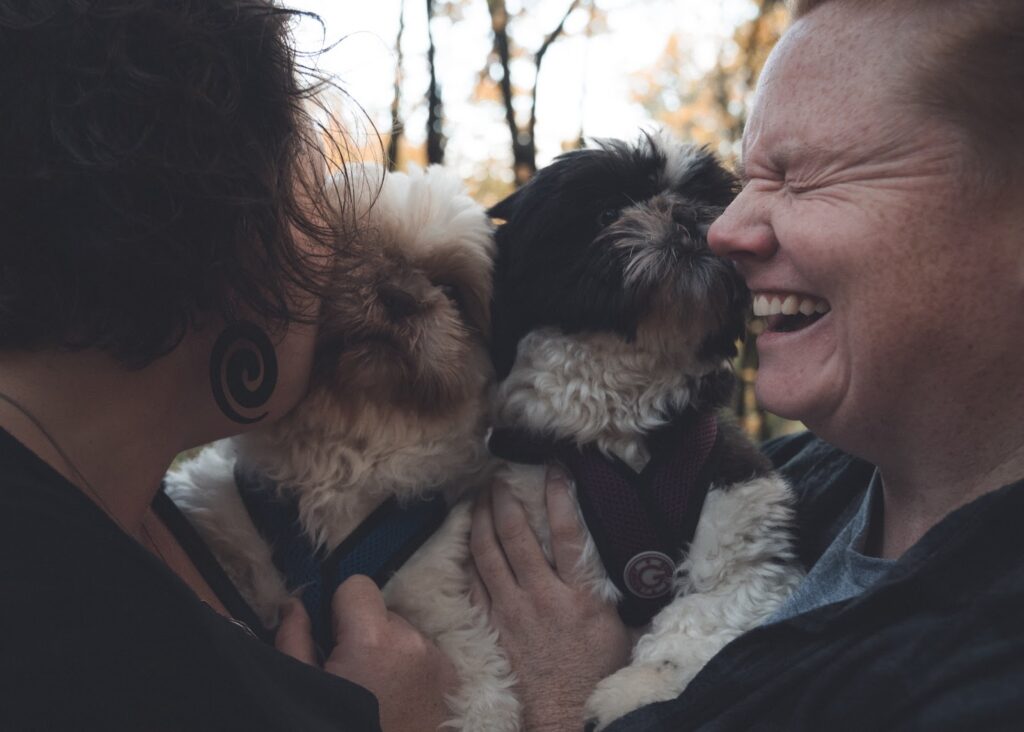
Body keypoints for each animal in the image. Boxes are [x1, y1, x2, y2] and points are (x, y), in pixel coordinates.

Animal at [483, 134, 802, 728]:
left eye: (707, 199)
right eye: (608, 213)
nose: (686, 214)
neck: (622, 411)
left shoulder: (741, 518)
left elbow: (700, 616)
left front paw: (638, 689)